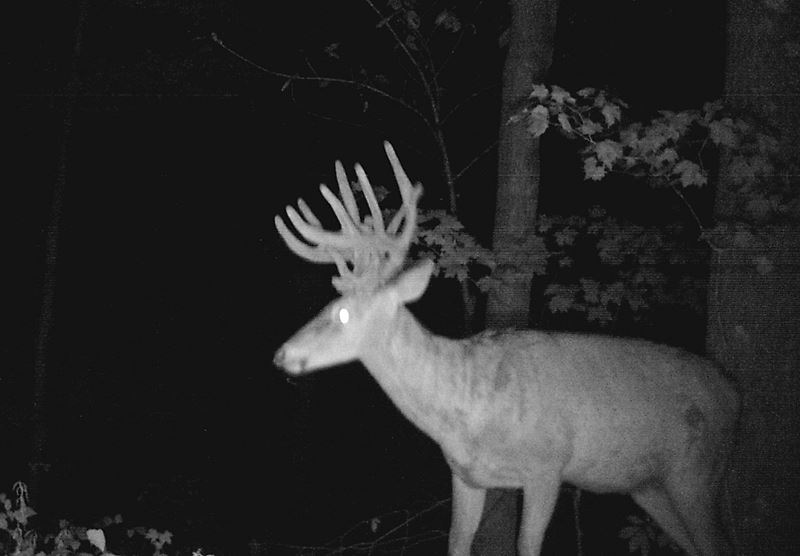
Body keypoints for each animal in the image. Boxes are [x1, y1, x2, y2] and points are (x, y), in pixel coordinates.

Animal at [272, 142, 740, 556]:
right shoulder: (466, 477)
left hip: (697, 472)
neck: (467, 412)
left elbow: (527, 546)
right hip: (649, 486)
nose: (281, 354)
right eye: (325, 306)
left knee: (720, 544)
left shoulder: (548, 466)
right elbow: (456, 544)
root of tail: (734, 393)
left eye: (343, 314)